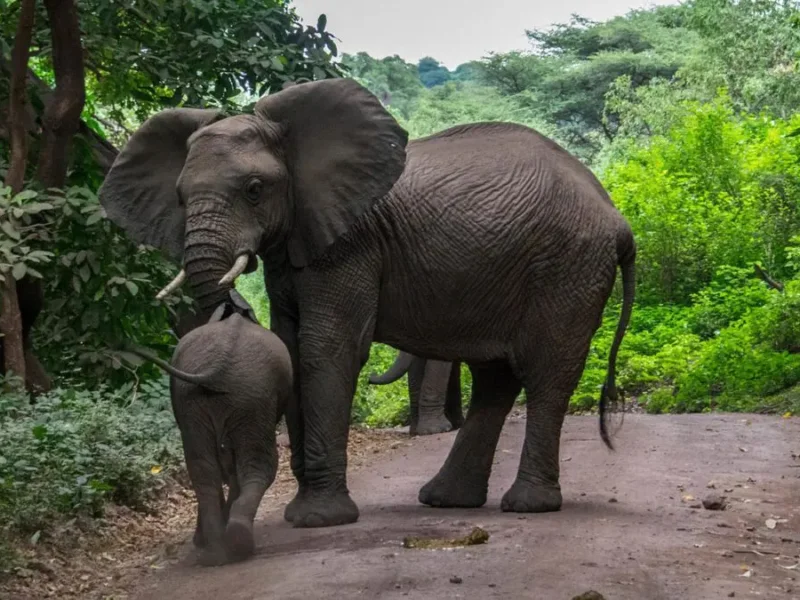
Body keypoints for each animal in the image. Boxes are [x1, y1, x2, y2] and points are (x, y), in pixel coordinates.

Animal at [97, 77, 635, 530]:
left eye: (253, 190)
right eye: (180, 198)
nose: (235, 310)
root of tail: (616, 217)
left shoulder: (350, 243)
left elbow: (326, 350)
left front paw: (318, 519)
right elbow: (292, 347)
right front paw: (303, 509)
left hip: (568, 266)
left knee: (547, 372)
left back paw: (527, 505)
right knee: (496, 378)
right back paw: (446, 500)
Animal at [125, 290, 292, 565]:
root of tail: (220, 366)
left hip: (203, 402)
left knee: (203, 470)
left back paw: (215, 551)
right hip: (250, 400)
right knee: (257, 466)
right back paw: (234, 543)